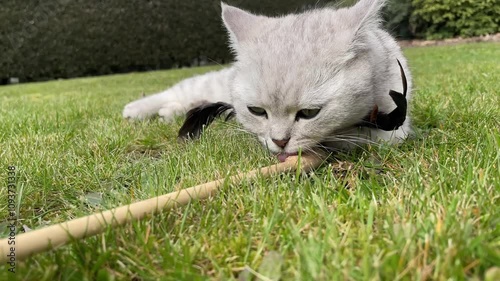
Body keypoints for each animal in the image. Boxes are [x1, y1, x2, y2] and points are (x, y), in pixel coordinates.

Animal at [123, 0, 412, 161]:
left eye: (309, 113)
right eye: (256, 111)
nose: (280, 141)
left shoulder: (396, 125)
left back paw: (168, 112)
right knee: (179, 89)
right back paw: (136, 110)